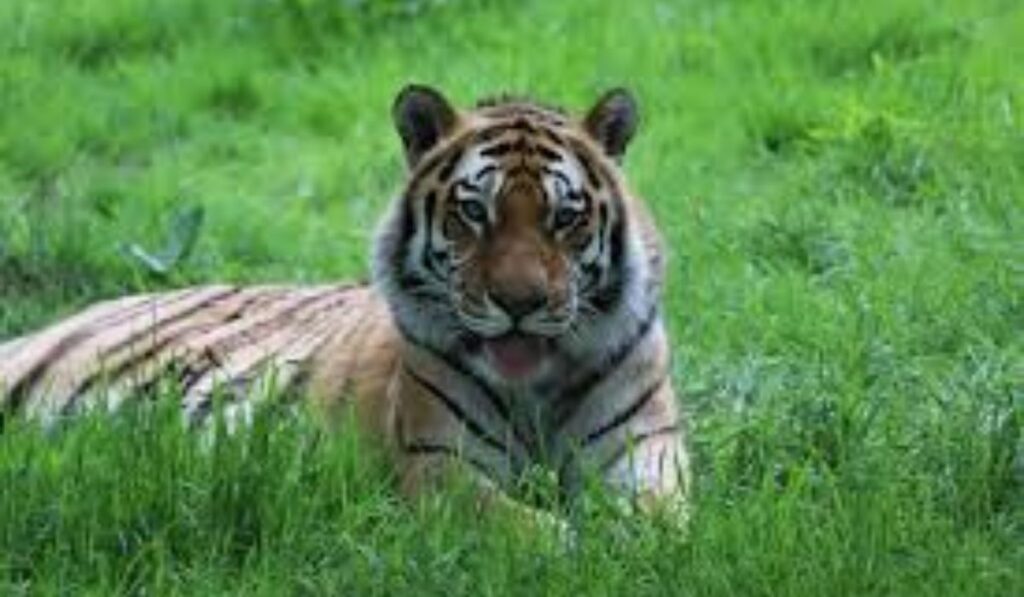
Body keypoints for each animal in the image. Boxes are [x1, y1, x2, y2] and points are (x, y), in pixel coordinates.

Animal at [0, 85, 690, 527]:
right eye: (474, 212)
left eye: (564, 218)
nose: (518, 303)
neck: (536, 389)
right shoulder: (440, 466)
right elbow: (530, 530)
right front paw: (576, 547)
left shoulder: (645, 447)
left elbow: (660, 516)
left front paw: (632, 543)